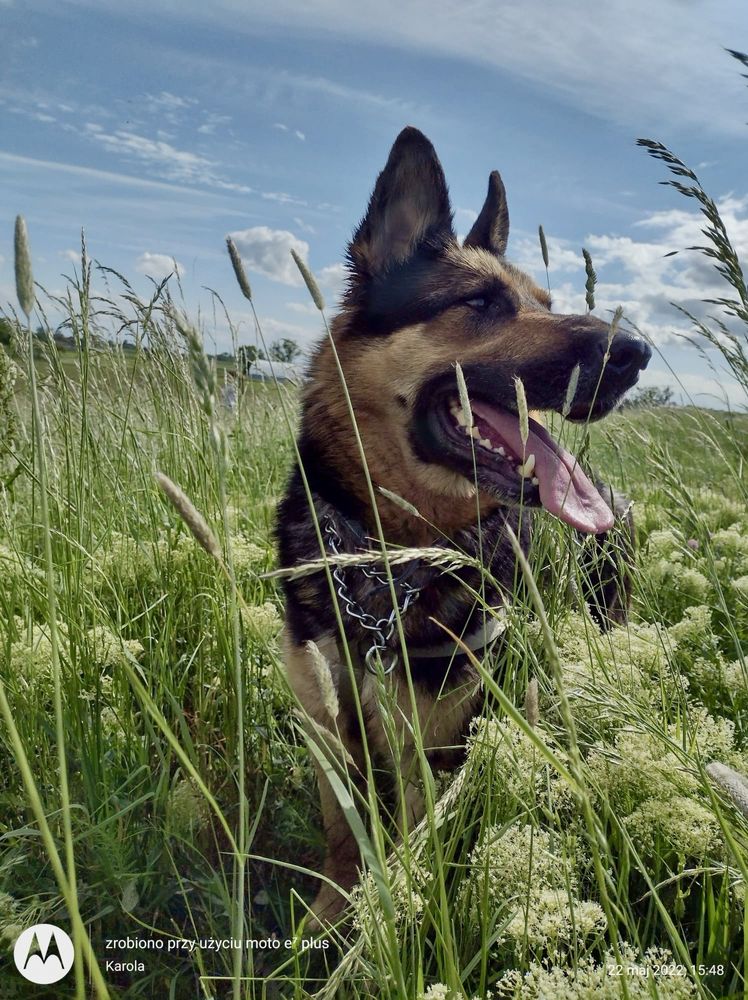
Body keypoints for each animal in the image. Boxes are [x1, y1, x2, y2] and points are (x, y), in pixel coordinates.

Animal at [278, 129, 652, 924]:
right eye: (481, 302)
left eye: (547, 303)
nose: (635, 353)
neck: (388, 558)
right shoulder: (330, 721)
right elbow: (342, 836)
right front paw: (329, 915)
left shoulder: (435, 743)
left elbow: (408, 849)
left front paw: (386, 918)